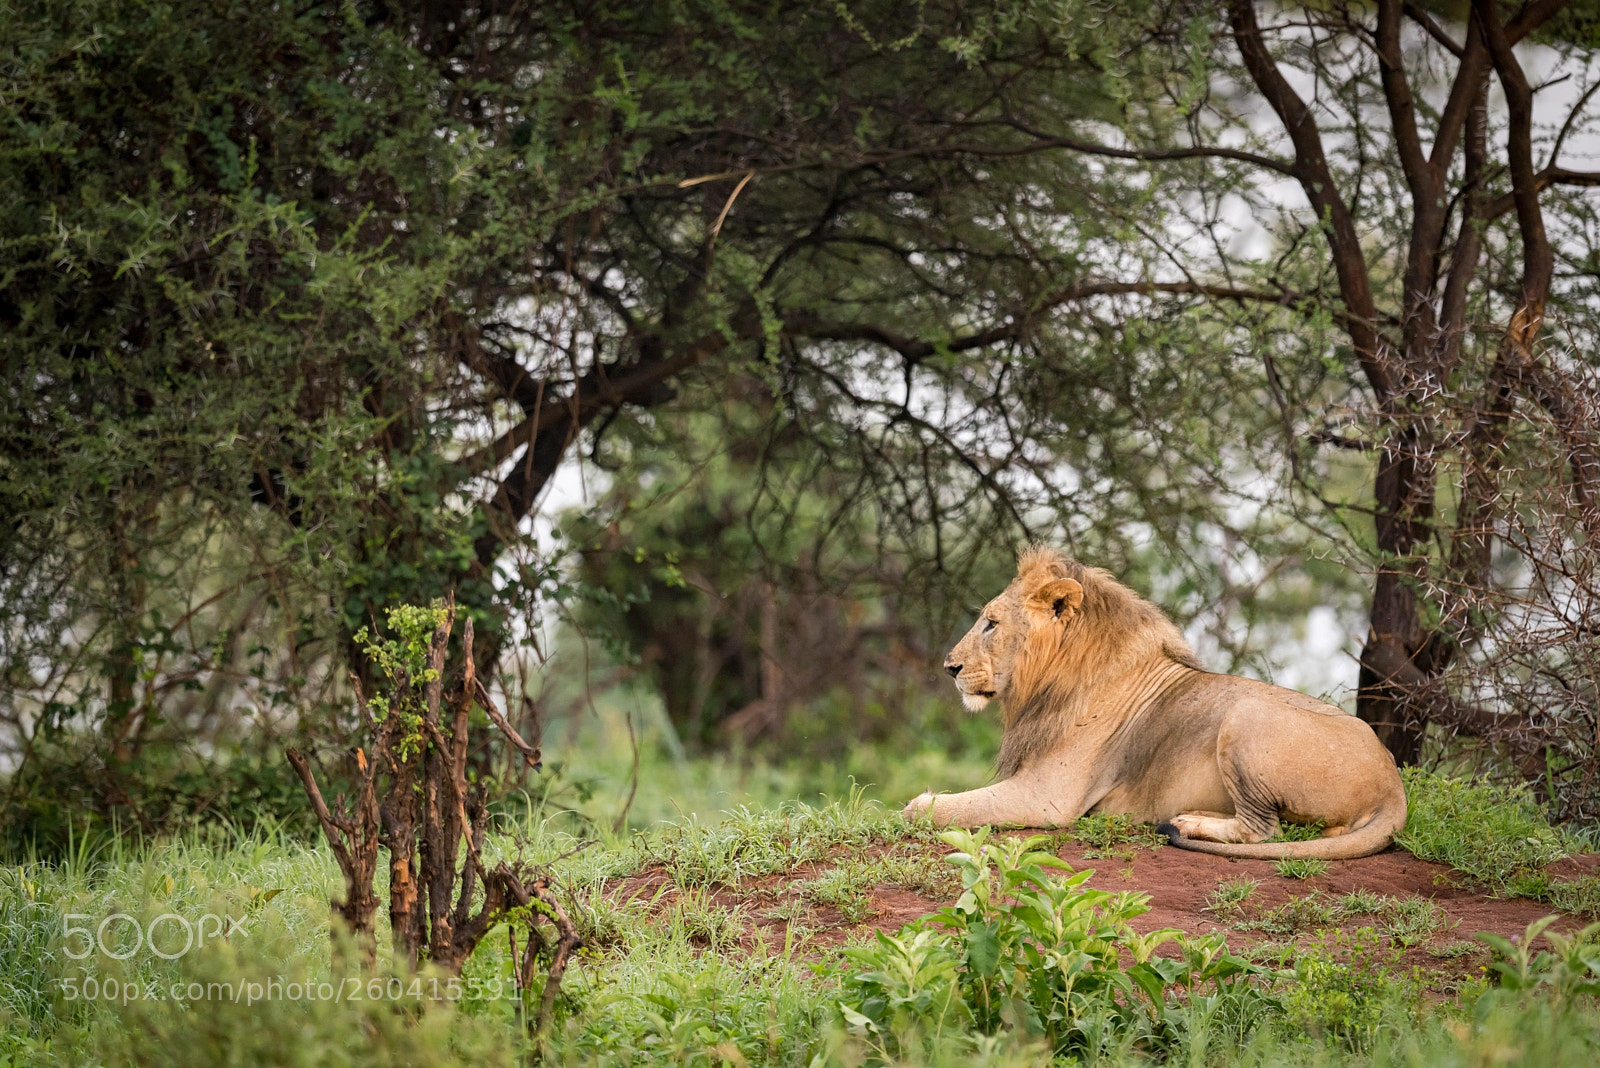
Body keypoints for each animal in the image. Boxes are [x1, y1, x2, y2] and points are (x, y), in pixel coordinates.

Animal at [903, 547, 1407, 859]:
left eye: (990, 623)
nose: (949, 667)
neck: (1051, 681)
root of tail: (1393, 785)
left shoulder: (1049, 797)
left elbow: (933, 808)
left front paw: (917, 804)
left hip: (1246, 712)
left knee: (1264, 830)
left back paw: (1189, 822)